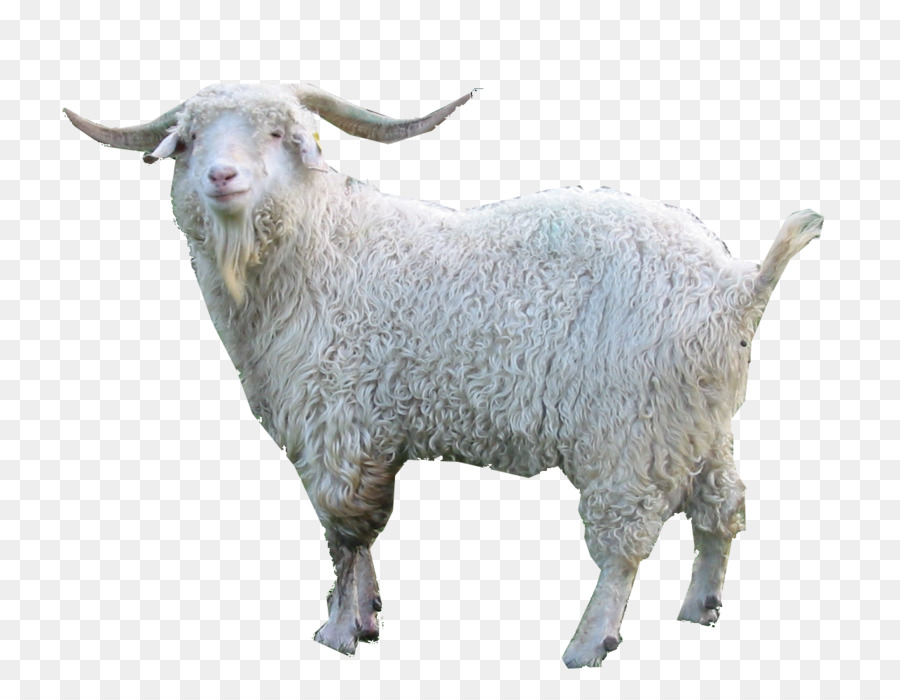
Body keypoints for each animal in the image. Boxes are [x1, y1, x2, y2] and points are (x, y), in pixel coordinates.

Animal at [65, 82, 823, 668]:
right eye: (189, 140)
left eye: (278, 133)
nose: (222, 177)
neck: (318, 247)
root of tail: (736, 287)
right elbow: (356, 535)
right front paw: (364, 614)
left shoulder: (341, 420)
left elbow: (346, 532)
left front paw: (340, 630)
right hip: (695, 421)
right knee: (722, 508)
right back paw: (700, 607)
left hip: (626, 430)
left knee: (625, 542)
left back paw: (588, 643)